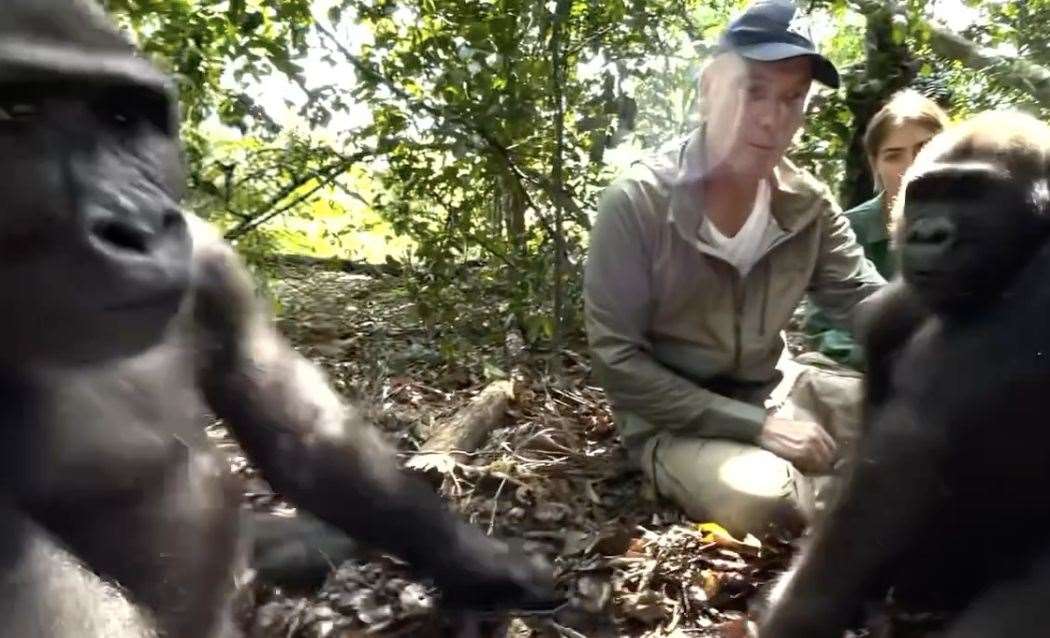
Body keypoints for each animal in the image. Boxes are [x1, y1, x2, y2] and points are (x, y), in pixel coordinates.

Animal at [0, 2, 554, 633]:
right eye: (14, 114)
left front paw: (486, 566)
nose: (136, 225)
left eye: (122, 118)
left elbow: (300, 432)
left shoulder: (212, 262)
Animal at [760, 110, 1050, 638]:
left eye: (971, 191)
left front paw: (796, 611)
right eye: (924, 194)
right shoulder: (893, 308)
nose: (926, 235)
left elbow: (909, 446)